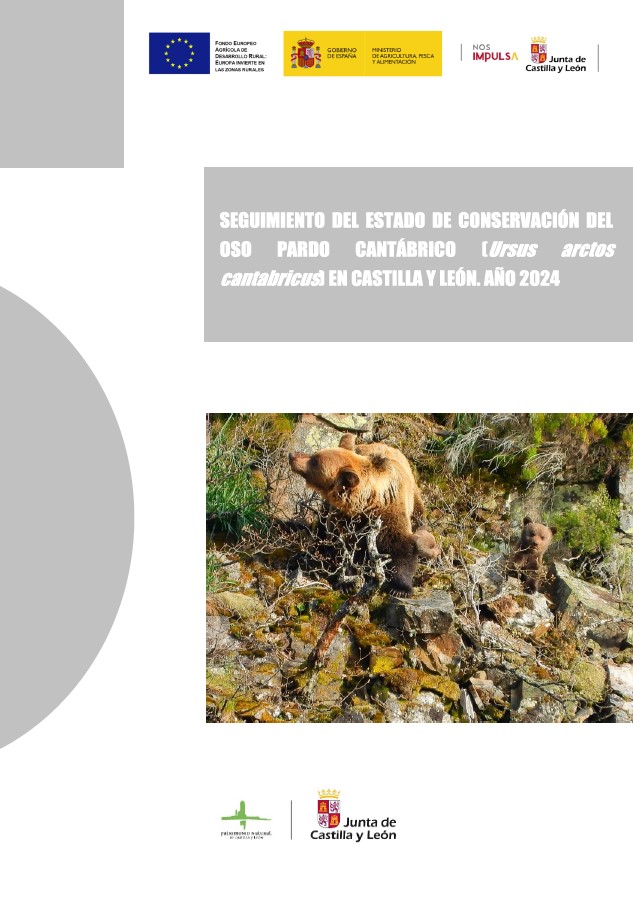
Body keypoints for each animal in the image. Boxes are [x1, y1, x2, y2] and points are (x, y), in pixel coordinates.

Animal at [288, 433, 434, 597]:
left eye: (314, 461)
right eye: (315, 454)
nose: (292, 455)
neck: (366, 503)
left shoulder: (390, 512)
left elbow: (401, 546)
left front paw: (400, 589)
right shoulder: (343, 518)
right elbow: (340, 545)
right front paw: (347, 582)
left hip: (414, 498)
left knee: (418, 517)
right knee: (320, 526)